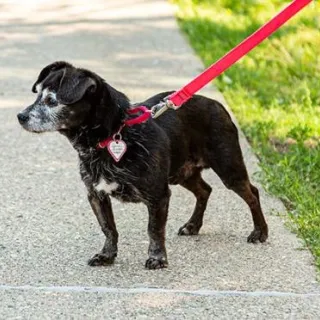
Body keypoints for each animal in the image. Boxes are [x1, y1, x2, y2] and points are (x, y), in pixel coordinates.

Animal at [16, 61, 268, 268]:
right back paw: (193, 225)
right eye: (37, 96)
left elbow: (154, 229)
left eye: (51, 100)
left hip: (228, 168)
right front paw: (107, 255)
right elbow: (108, 228)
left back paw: (260, 232)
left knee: (252, 193)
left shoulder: (158, 195)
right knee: (205, 190)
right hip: (181, 173)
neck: (113, 135)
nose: (20, 116)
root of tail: (219, 105)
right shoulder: (96, 194)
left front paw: (157, 258)